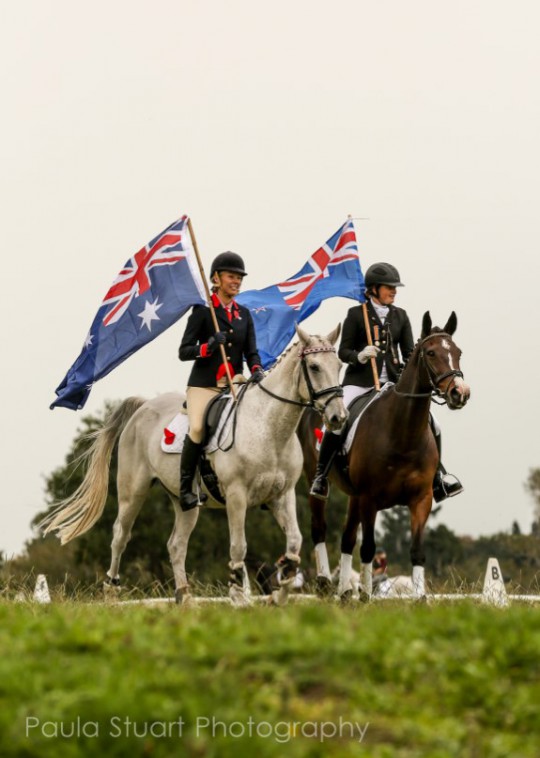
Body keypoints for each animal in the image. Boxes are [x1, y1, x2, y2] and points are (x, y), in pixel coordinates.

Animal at [41, 326, 346, 604]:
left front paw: (280, 591)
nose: (338, 418)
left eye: (339, 365)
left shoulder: (282, 496)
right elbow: (239, 547)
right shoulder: (237, 496)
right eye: (315, 367)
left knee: (176, 545)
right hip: (133, 492)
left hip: (183, 499)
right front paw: (239, 597)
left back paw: (185, 597)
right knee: (120, 536)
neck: (269, 428)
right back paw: (111, 592)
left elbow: (294, 543)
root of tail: (143, 406)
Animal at [298, 312, 470, 604]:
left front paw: (420, 599)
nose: (460, 393)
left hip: (354, 496)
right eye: (431, 352)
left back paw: (345, 592)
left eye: (457, 352)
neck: (403, 434)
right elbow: (368, 548)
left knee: (346, 538)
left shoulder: (421, 499)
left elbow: (417, 550)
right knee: (320, 528)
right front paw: (367, 596)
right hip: (317, 480)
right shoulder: (370, 498)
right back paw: (325, 584)